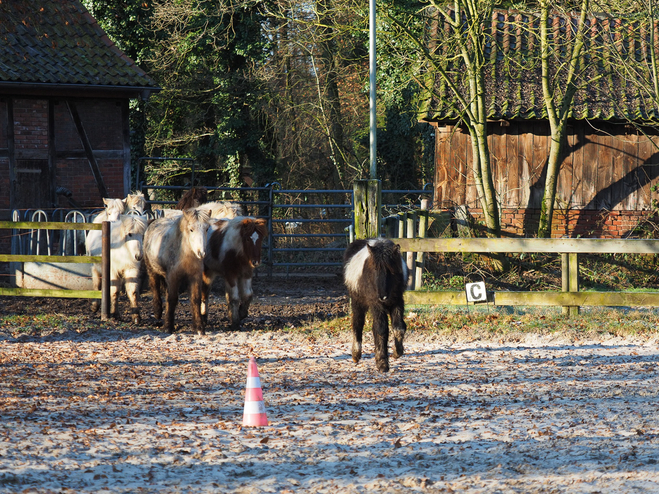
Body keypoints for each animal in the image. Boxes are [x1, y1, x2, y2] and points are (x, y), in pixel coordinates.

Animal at [144, 206, 211, 334]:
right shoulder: (173, 277)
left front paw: (199, 327)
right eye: (191, 230)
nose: (202, 253)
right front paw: (168, 327)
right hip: (152, 270)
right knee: (155, 287)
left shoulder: (195, 277)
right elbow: (172, 299)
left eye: (206, 229)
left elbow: (195, 299)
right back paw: (157, 312)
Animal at [346, 237, 408, 372]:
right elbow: (381, 329)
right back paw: (356, 354)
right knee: (358, 324)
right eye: (374, 269)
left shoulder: (397, 301)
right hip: (358, 302)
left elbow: (399, 328)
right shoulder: (376, 304)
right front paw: (382, 362)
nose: (383, 296)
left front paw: (397, 352)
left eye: (390, 270)